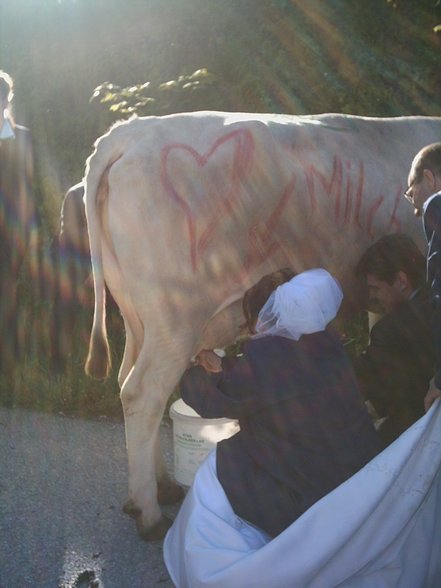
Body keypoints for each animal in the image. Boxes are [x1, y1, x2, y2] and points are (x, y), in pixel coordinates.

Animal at [82, 112, 440, 540]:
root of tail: (130, 131)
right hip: (174, 317)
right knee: (143, 392)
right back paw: (150, 514)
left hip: (138, 316)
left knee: (125, 380)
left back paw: (160, 487)